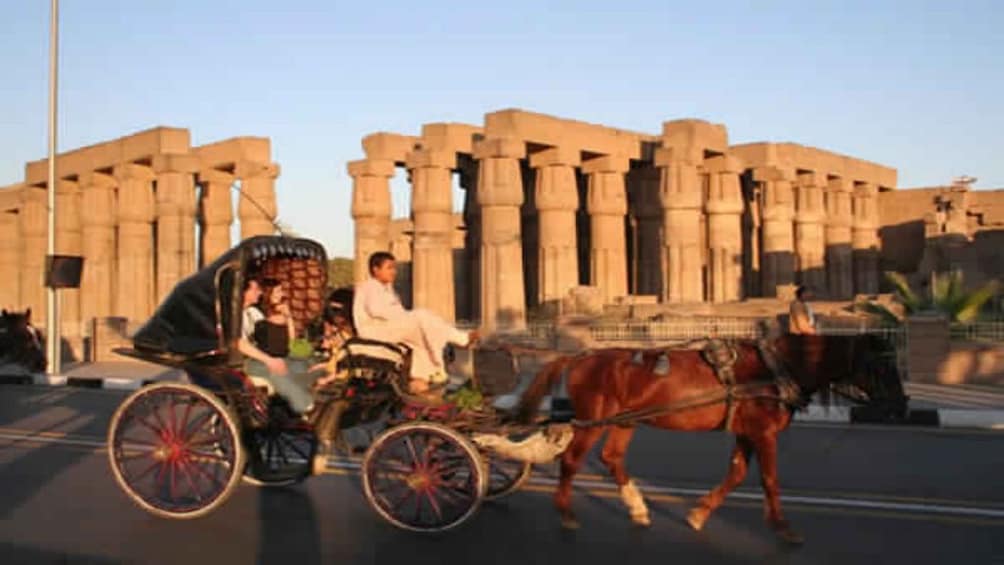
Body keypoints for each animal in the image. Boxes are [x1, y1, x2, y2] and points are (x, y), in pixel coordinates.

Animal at [518, 333, 911, 545]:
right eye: (881, 365)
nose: (901, 405)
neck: (775, 368)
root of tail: (579, 357)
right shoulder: (763, 433)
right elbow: (770, 480)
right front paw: (783, 527)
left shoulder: (747, 432)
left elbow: (736, 474)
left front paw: (699, 514)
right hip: (593, 420)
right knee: (572, 460)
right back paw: (566, 513)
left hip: (624, 421)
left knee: (611, 458)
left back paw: (637, 507)